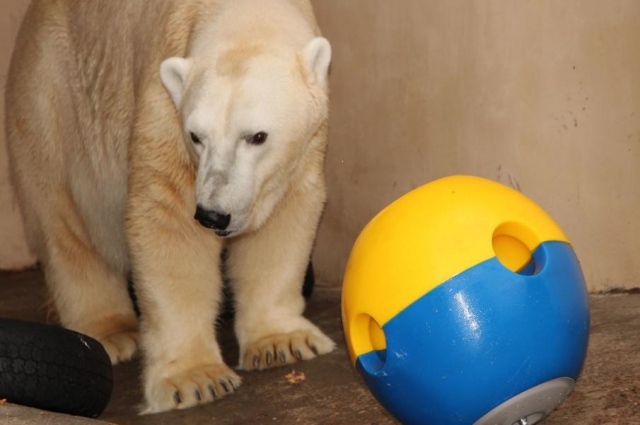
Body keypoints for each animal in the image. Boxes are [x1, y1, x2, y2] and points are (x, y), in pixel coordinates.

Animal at [6, 0, 336, 412]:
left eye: (257, 136)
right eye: (196, 136)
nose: (213, 214)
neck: (246, 14)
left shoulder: (302, 149)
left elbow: (282, 218)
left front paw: (283, 342)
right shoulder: (163, 109)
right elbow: (169, 220)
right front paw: (196, 379)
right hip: (50, 92)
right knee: (61, 217)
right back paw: (111, 332)